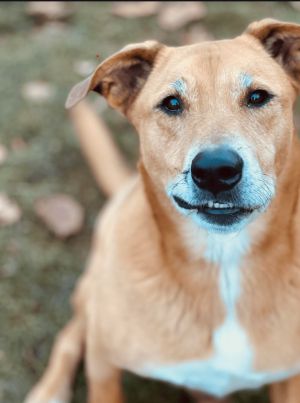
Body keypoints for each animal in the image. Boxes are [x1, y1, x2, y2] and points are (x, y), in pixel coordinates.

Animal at [24, 18, 300, 403]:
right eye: (171, 103)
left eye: (258, 96)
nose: (215, 170)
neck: (223, 265)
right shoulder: (103, 362)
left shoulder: (290, 378)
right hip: (91, 292)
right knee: (72, 332)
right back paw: (49, 391)